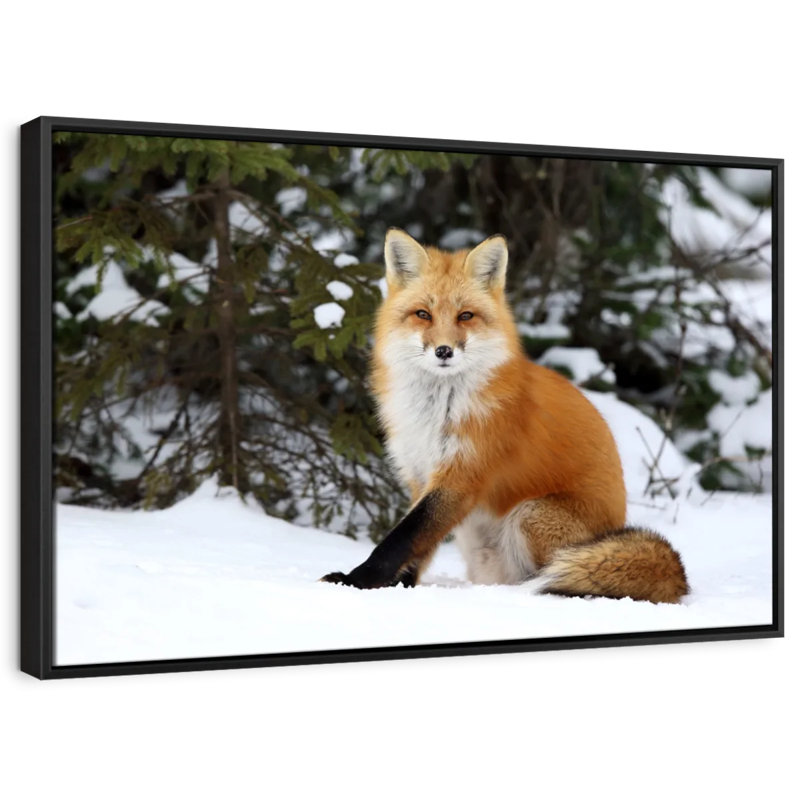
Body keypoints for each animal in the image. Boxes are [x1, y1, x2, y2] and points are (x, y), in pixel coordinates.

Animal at [321, 228, 688, 603]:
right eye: (423, 314)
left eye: (465, 316)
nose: (444, 351)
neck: (438, 409)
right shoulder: (421, 475)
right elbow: (418, 545)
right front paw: (398, 588)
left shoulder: (462, 476)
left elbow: (400, 539)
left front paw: (355, 581)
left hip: (531, 514)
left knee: (562, 576)